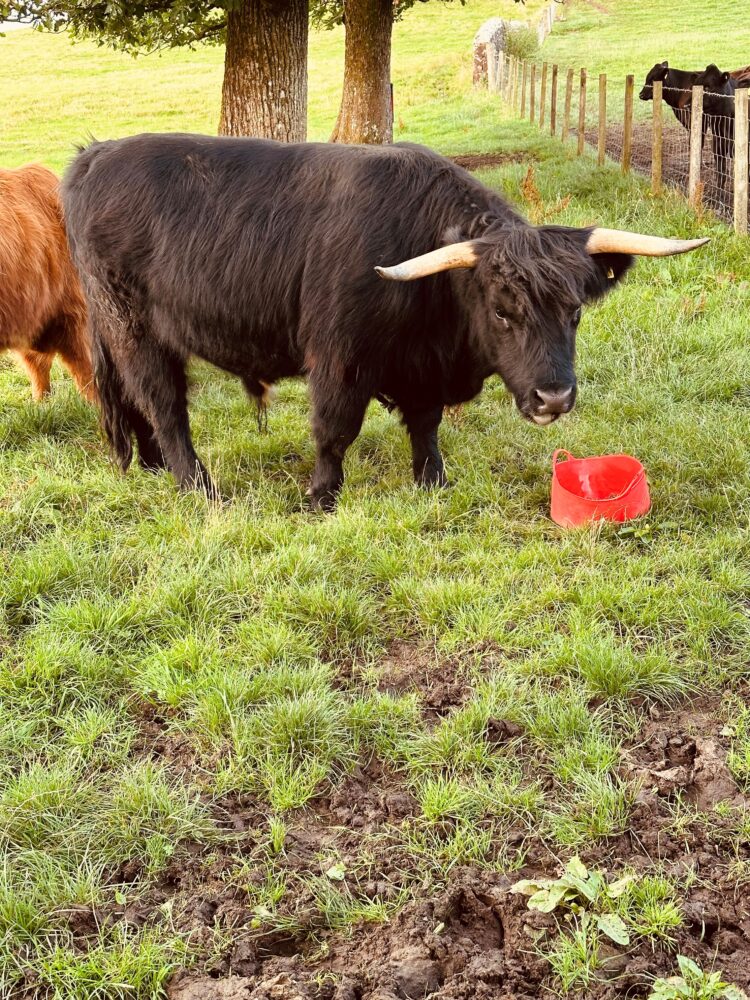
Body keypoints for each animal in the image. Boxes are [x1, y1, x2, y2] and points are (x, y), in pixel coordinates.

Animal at [61, 134, 708, 510]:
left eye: (574, 311)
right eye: (503, 311)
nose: (555, 397)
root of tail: (96, 154)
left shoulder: (422, 369)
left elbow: (426, 425)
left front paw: (433, 481)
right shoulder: (339, 356)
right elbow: (335, 429)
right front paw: (321, 496)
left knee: (134, 402)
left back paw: (148, 466)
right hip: (136, 328)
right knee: (164, 404)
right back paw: (199, 487)